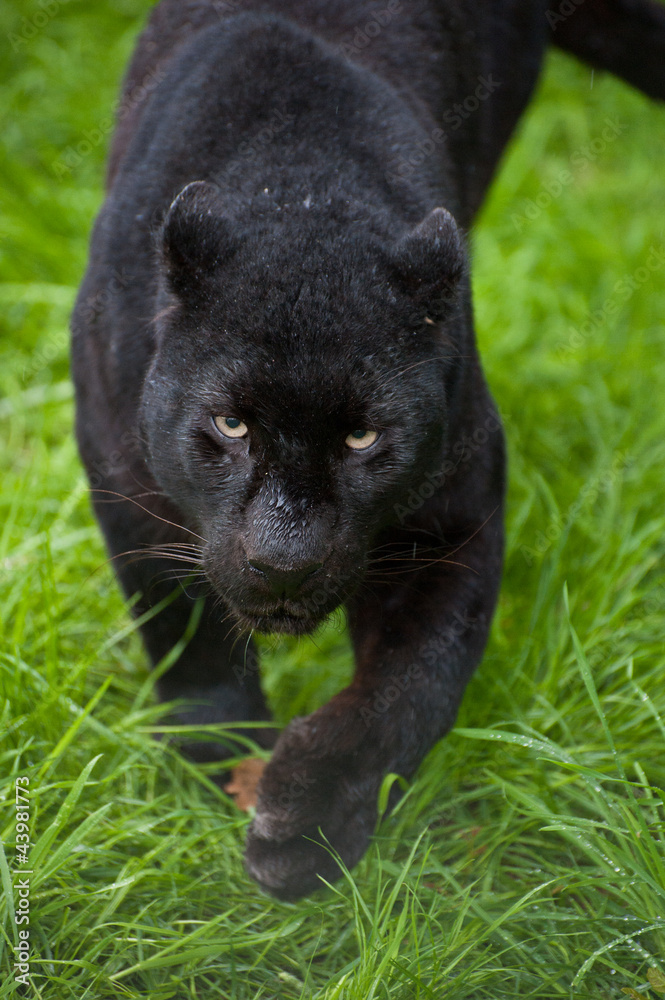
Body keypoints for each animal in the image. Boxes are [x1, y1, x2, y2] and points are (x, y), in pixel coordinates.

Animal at [71, 0, 665, 899]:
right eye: (232, 425)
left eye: (363, 436)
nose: (284, 562)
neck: (296, 185)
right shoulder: (125, 477)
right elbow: (184, 626)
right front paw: (220, 757)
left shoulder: (447, 521)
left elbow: (414, 682)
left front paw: (308, 825)